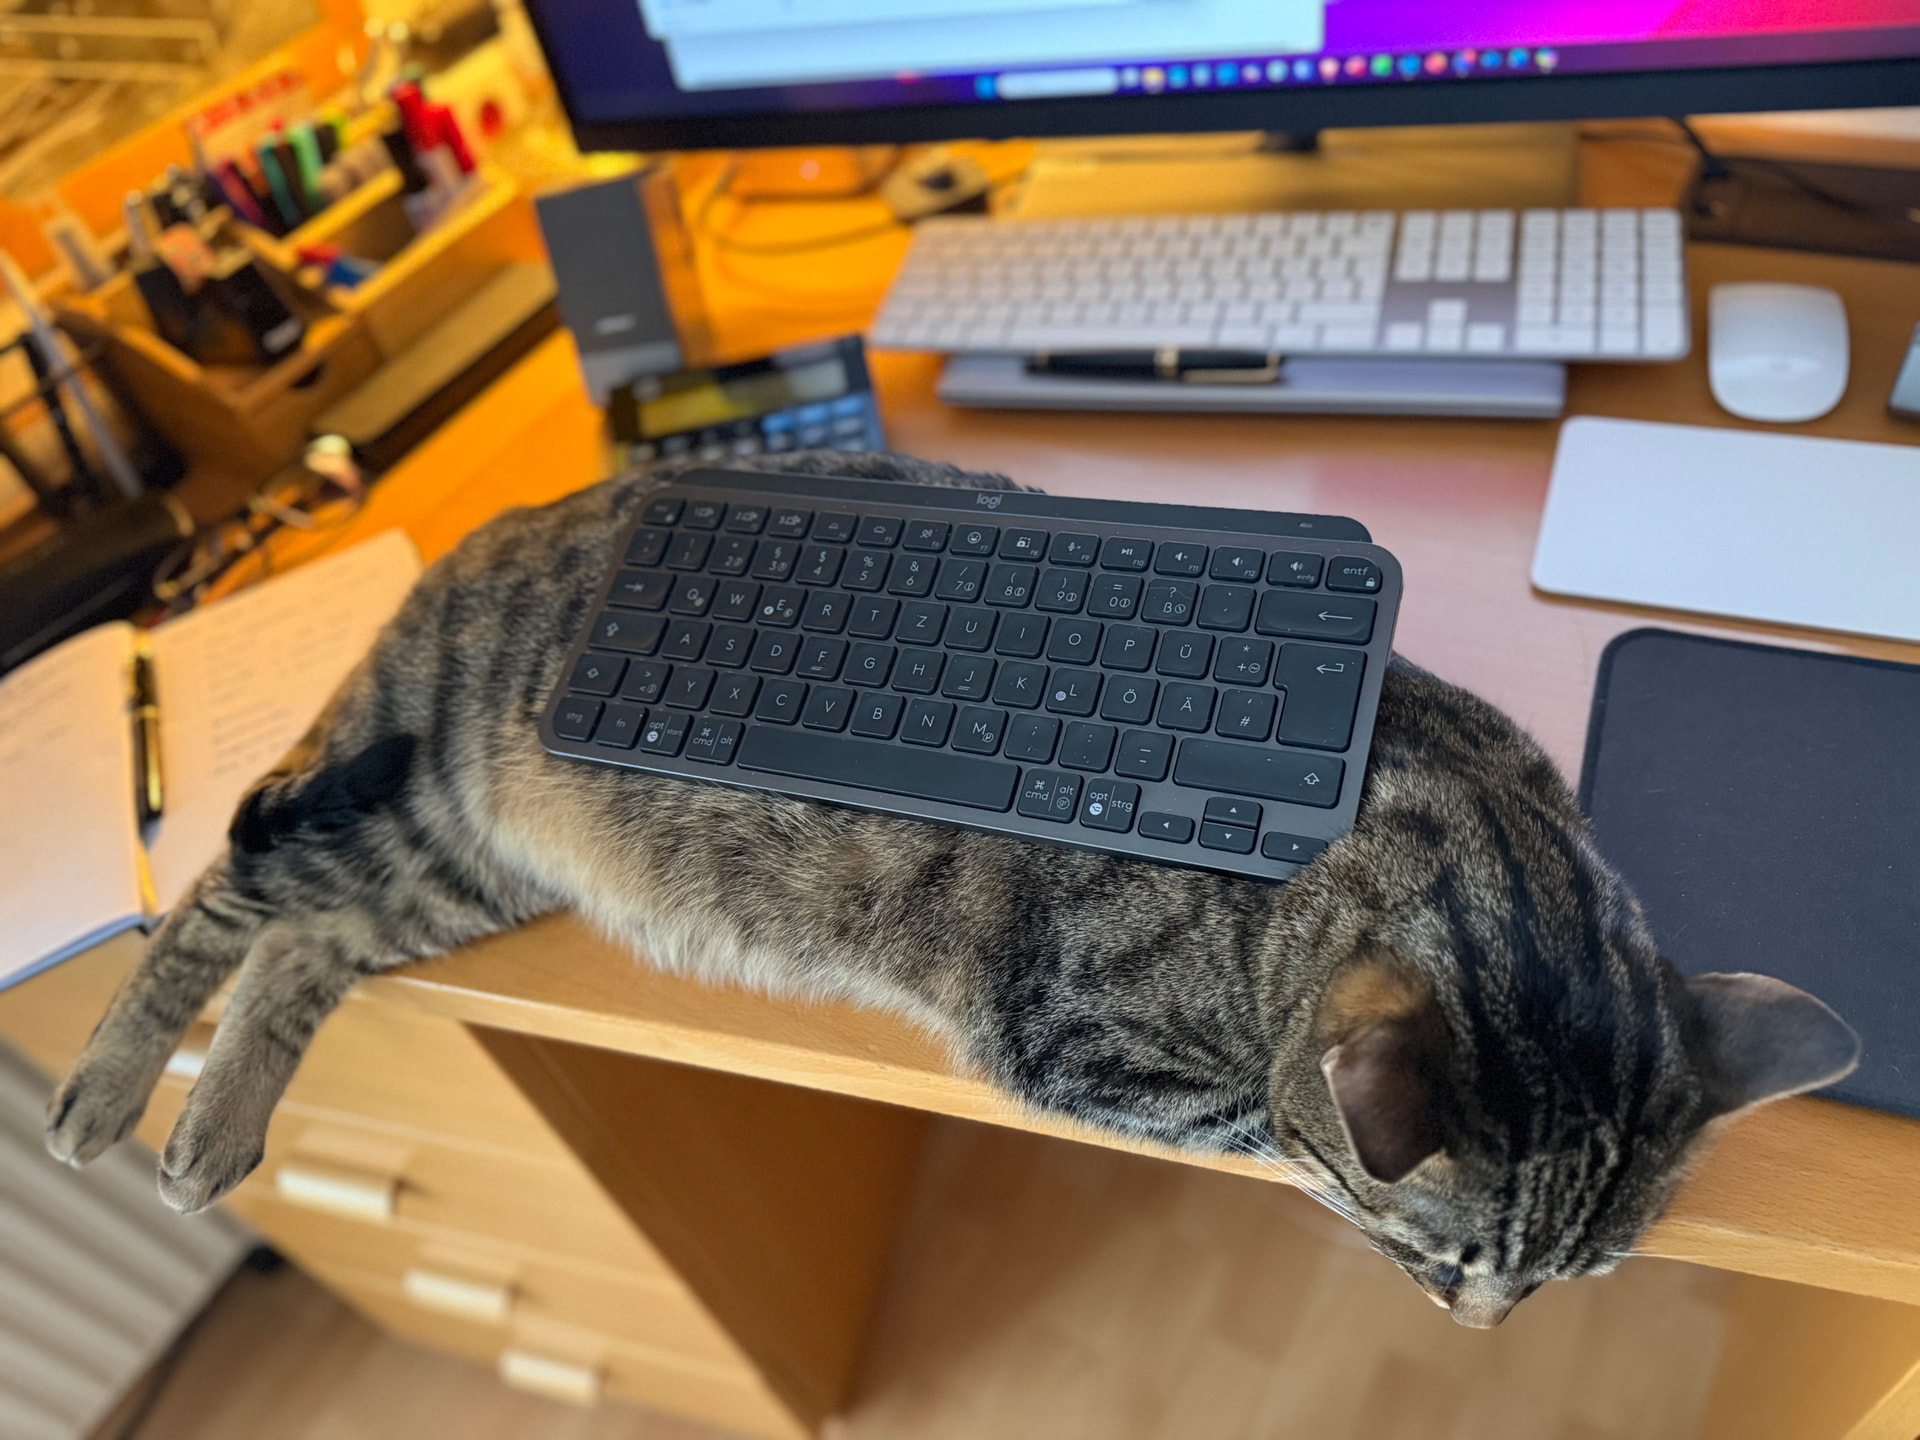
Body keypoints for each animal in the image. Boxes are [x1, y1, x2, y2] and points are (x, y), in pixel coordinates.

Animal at [45, 453, 1858, 1329]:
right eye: (1449, 1265)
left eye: (1576, 1288)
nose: (1487, 1335)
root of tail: (485, 540)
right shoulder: (1087, 1051)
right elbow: (1272, 1137)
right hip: (402, 792)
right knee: (220, 896)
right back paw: (109, 1090)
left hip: (447, 871)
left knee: (308, 946)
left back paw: (213, 1125)